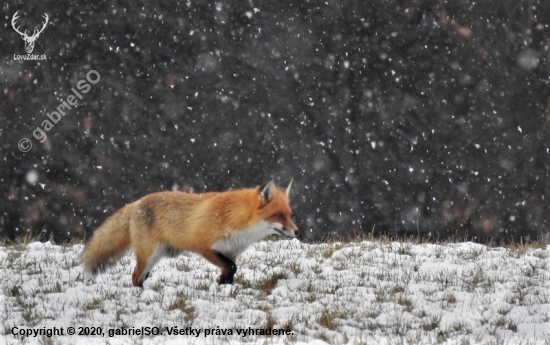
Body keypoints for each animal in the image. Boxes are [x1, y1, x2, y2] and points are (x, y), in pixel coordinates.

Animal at [82, 181, 300, 286]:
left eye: (290, 215)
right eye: (278, 215)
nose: (297, 232)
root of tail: (136, 203)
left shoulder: (230, 251)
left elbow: (231, 270)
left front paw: (224, 286)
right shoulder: (204, 247)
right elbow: (231, 267)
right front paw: (222, 283)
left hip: (156, 256)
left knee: (140, 276)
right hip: (150, 254)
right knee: (136, 276)